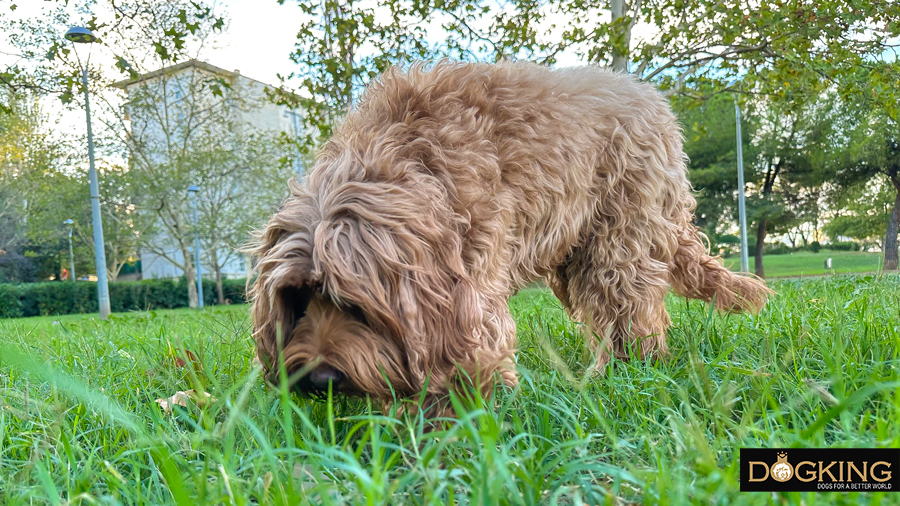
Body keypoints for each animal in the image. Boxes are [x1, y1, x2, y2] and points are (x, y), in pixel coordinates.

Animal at [250, 61, 768, 414]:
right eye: (297, 298)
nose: (318, 379)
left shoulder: (471, 278)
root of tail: (651, 98)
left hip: (620, 236)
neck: (406, 161)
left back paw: (625, 369)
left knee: (630, 304)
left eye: (355, 305)